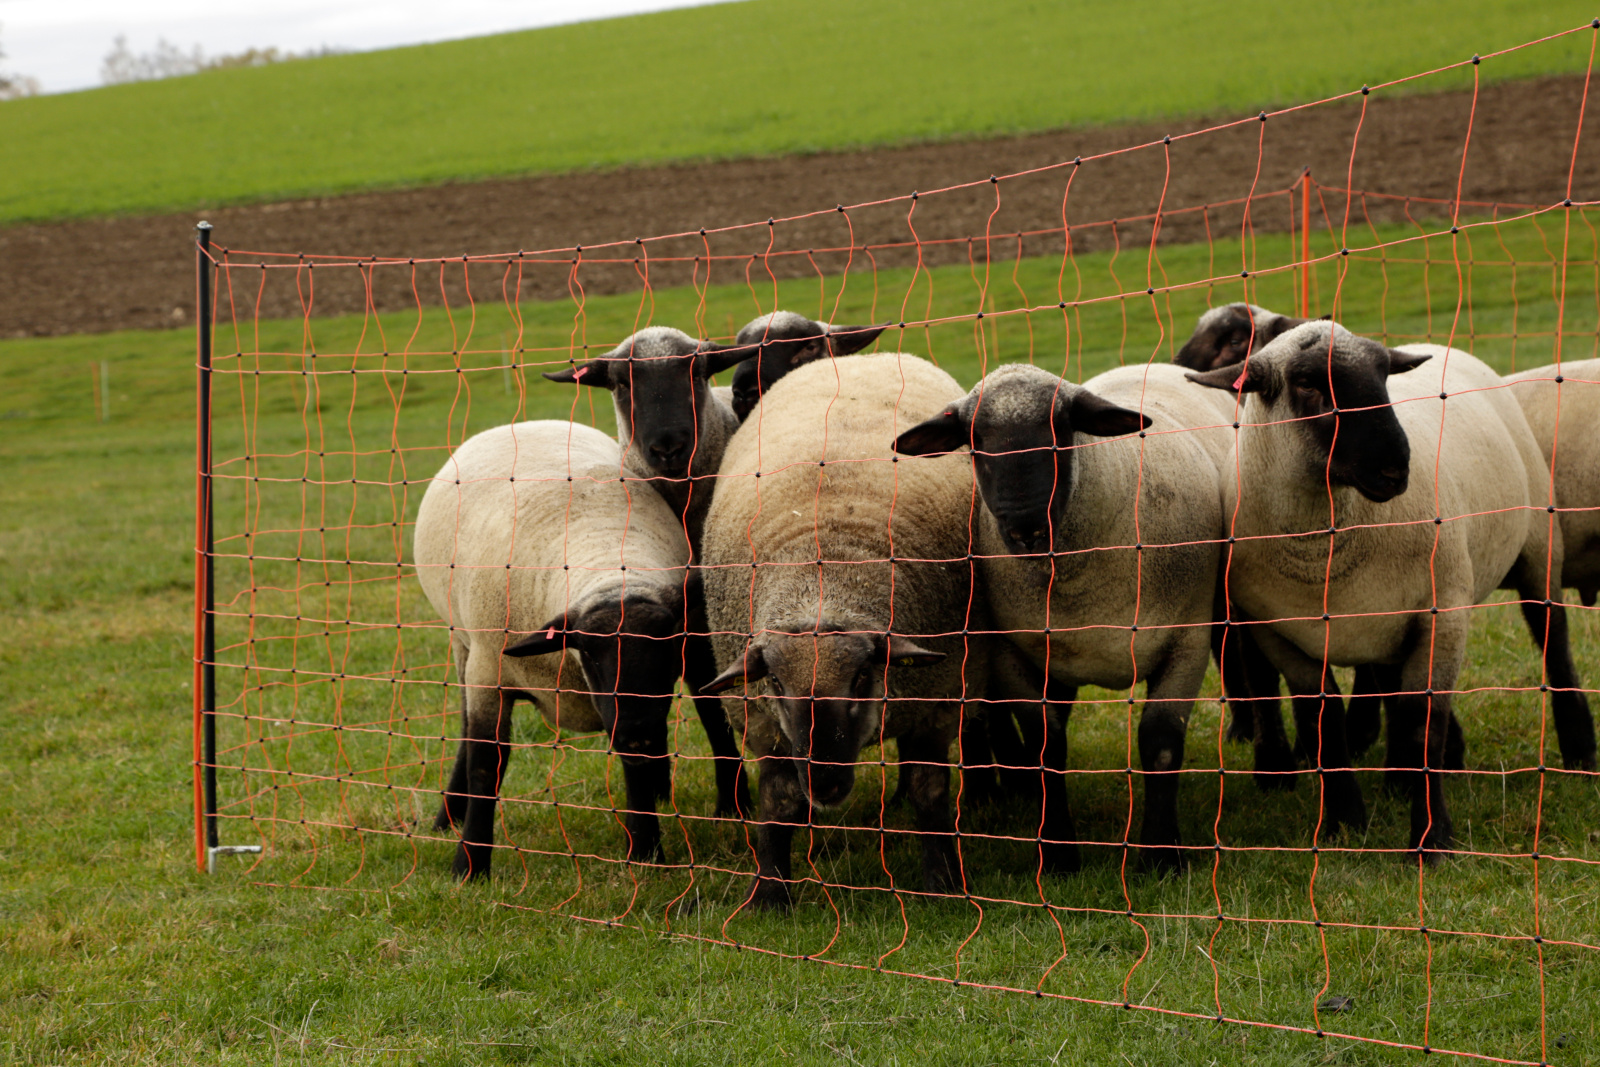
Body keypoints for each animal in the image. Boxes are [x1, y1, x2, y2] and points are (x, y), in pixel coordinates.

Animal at [412, 422, 694, 883]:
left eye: (667, 645)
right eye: (591, 654)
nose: (637, 732)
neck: (603, 555)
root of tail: (523, 423)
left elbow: (634, 763)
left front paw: (645, 853)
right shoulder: (489, 673)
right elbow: (486, 765)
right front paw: (468, 868)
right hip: (463, 646)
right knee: (466, 732)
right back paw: (447, 817)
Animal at [544, 329, 761, 812]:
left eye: (697, 373)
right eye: (621, 384)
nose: (668, 447)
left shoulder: (698, 624)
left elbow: (711, 706)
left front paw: (732, 803)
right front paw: (655, 785)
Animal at [700, 350, 985, 908]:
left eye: (860, 679)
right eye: (775, 682)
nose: (827, 786)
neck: (823, 582)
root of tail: (863, 355)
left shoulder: (937, 701)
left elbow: (930, 792)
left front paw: (943, 883)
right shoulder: (762, 720)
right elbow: (778, 801)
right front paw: (770, 892)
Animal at [1184, 323, 1593, 857]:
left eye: (1383, 376)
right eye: (1308, 383)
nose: (1395, 469)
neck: (1322, 548)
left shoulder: (1444, 614)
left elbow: (1423, 722)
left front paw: (1431, 842)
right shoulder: (1280, 632)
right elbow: (1322, 720)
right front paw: (1343, 824)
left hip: (1538, 546)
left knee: (1554, 642)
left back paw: (1580, 751)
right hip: (1386, 618)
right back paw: (1401, 778)